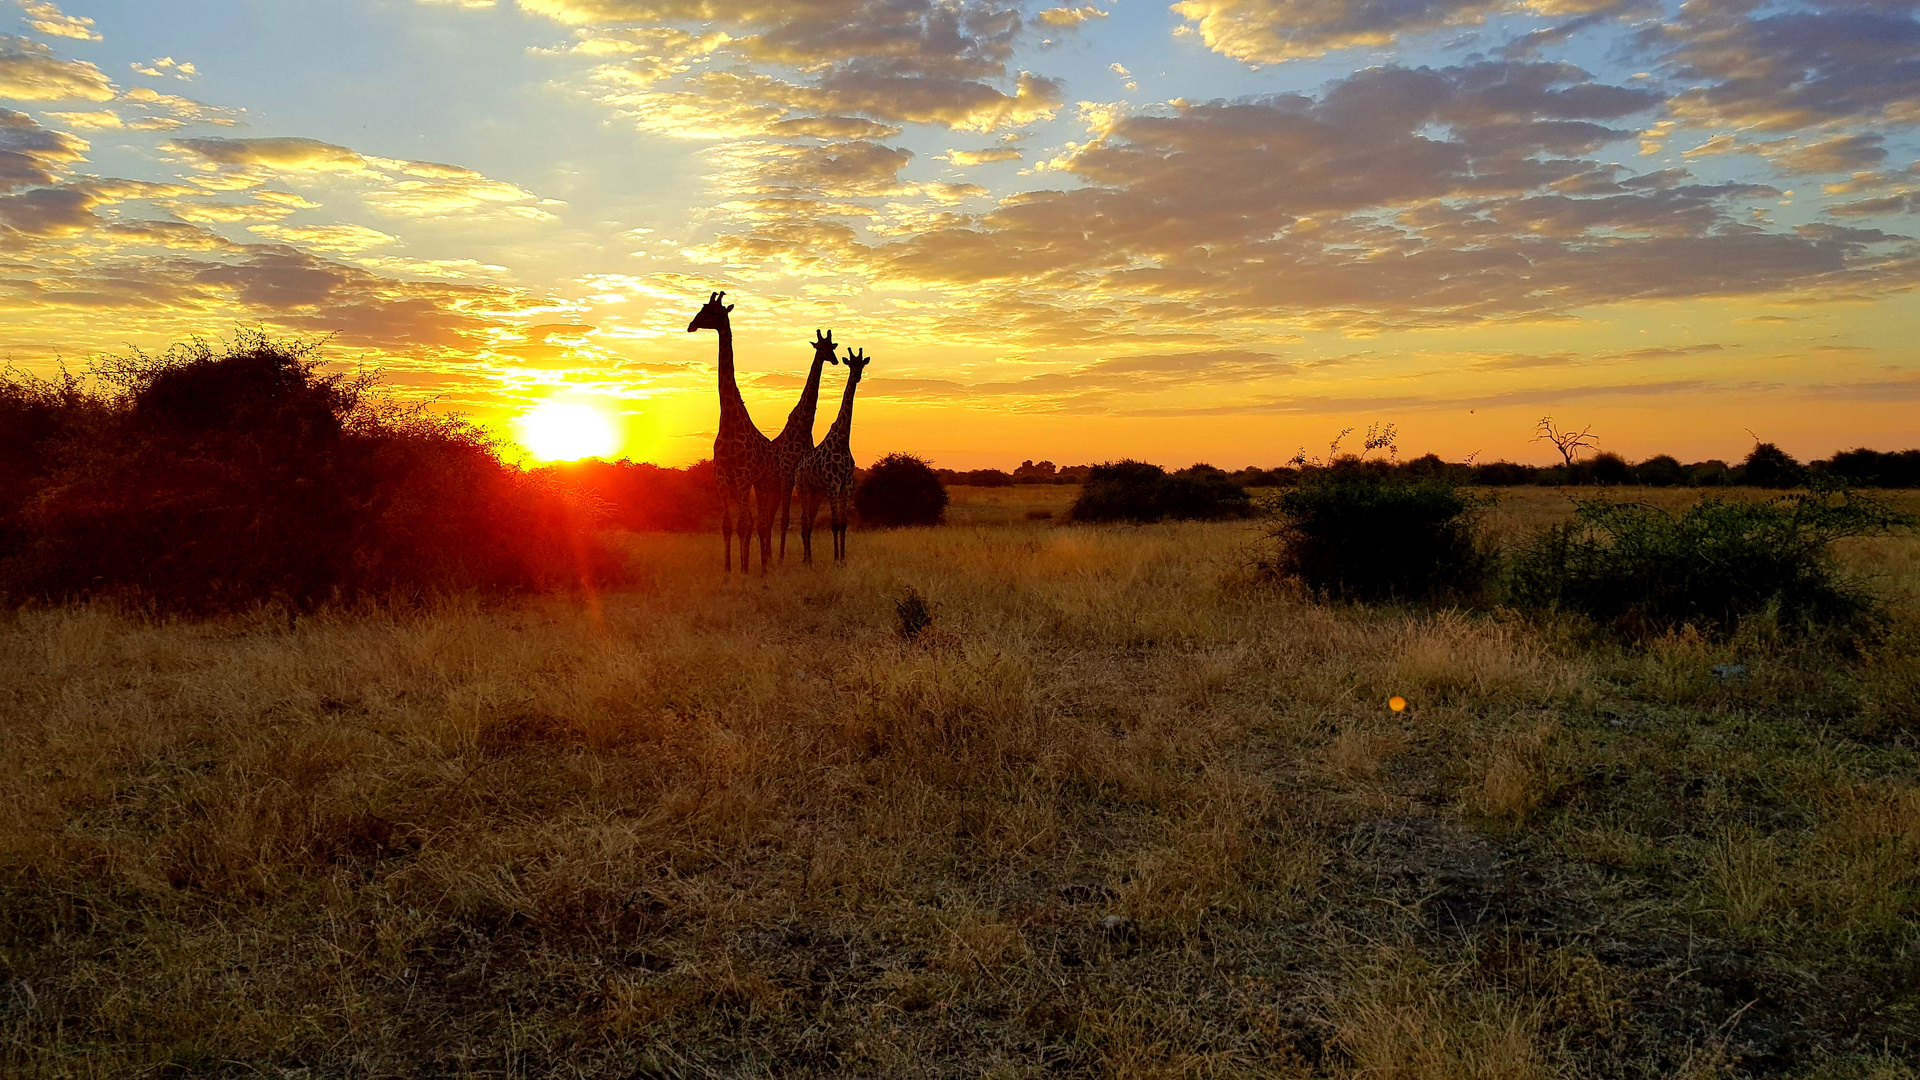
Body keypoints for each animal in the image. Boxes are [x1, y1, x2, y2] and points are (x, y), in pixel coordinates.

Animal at [687, 286, 775, 572]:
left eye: (714, 312)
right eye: (702, 307)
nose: (691, 325)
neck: (728, 419)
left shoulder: (744, 476)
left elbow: (743, 524)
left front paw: (745, 570)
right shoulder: (723, 477)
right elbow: (727, 526)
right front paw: (728, 570)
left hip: (762, 481)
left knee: (761, 524)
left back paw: (762, 568)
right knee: (753, 523)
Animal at [760, 326, 837, 564]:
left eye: (833, 347)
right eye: (820, 347)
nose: (835, 360)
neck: (803, 428)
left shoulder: (797, 477)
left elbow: (802, 517)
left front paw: (803, 557)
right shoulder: (787, 475)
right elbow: (786, 519)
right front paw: (782, 558)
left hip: (775, 487)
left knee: (770, 516)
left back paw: (768, 553)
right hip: (771, 484)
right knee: (769, 517)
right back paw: (770, 555)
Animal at [791, 343, 875, 564]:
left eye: (862, 364)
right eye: (851, 364)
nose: (857, 376)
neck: (842, 440)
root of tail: (798, 467)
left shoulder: (847, 483)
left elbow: (843, 523)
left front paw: (843, 558)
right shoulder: (832, 483)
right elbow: (834, 523)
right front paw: (836, 559)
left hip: (816, 491)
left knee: (809, 520)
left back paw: (809, 558)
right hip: (804, 487)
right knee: (804, 520)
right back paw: (807, 561)